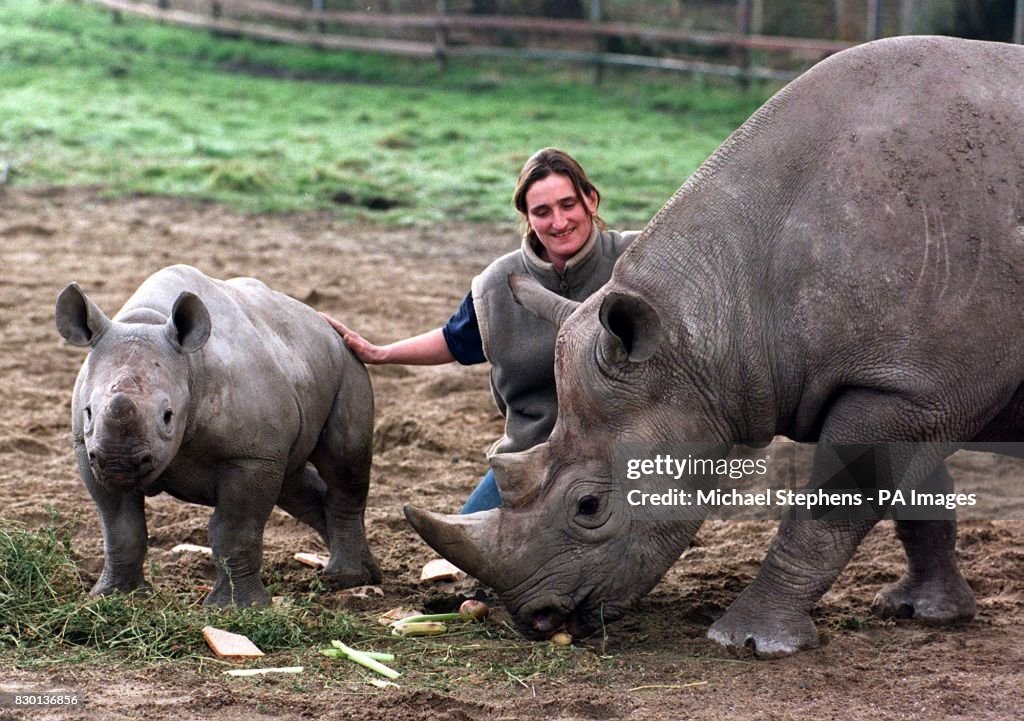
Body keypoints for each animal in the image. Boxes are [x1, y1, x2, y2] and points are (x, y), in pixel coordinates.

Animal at [55, 262, 380, 606]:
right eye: (88, 412)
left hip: (349, 366)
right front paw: (114, 596)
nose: (118, 463)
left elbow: (233, 530)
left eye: (168, 416)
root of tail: (327, 327)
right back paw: (358, 573)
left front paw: (238, 608)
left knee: (344, 466)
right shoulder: (87, 448)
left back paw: (348, 578)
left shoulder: (251, 455)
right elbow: (121, 528)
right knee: (293, 481)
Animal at [405, 39, 1024, 659]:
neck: (709, 318)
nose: (535, 617)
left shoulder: (912, 388)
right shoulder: (914, 384)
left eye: (589, 507)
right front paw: (926, 612)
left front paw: (748, 642)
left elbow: (831, 509)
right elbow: (917, 497)